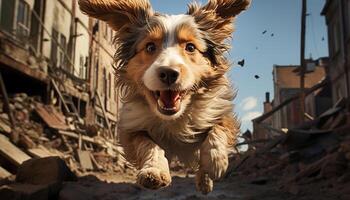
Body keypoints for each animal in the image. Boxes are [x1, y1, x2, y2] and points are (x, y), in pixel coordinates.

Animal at [78, 0, 250, 194]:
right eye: (150, 47)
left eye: (190, 47)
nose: (168, 73)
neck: (174, 119)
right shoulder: (131, 127)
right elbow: (147, 143)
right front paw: (154, 171)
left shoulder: (219, 110)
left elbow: (218, 129)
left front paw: (214, 162)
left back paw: (205, 179)